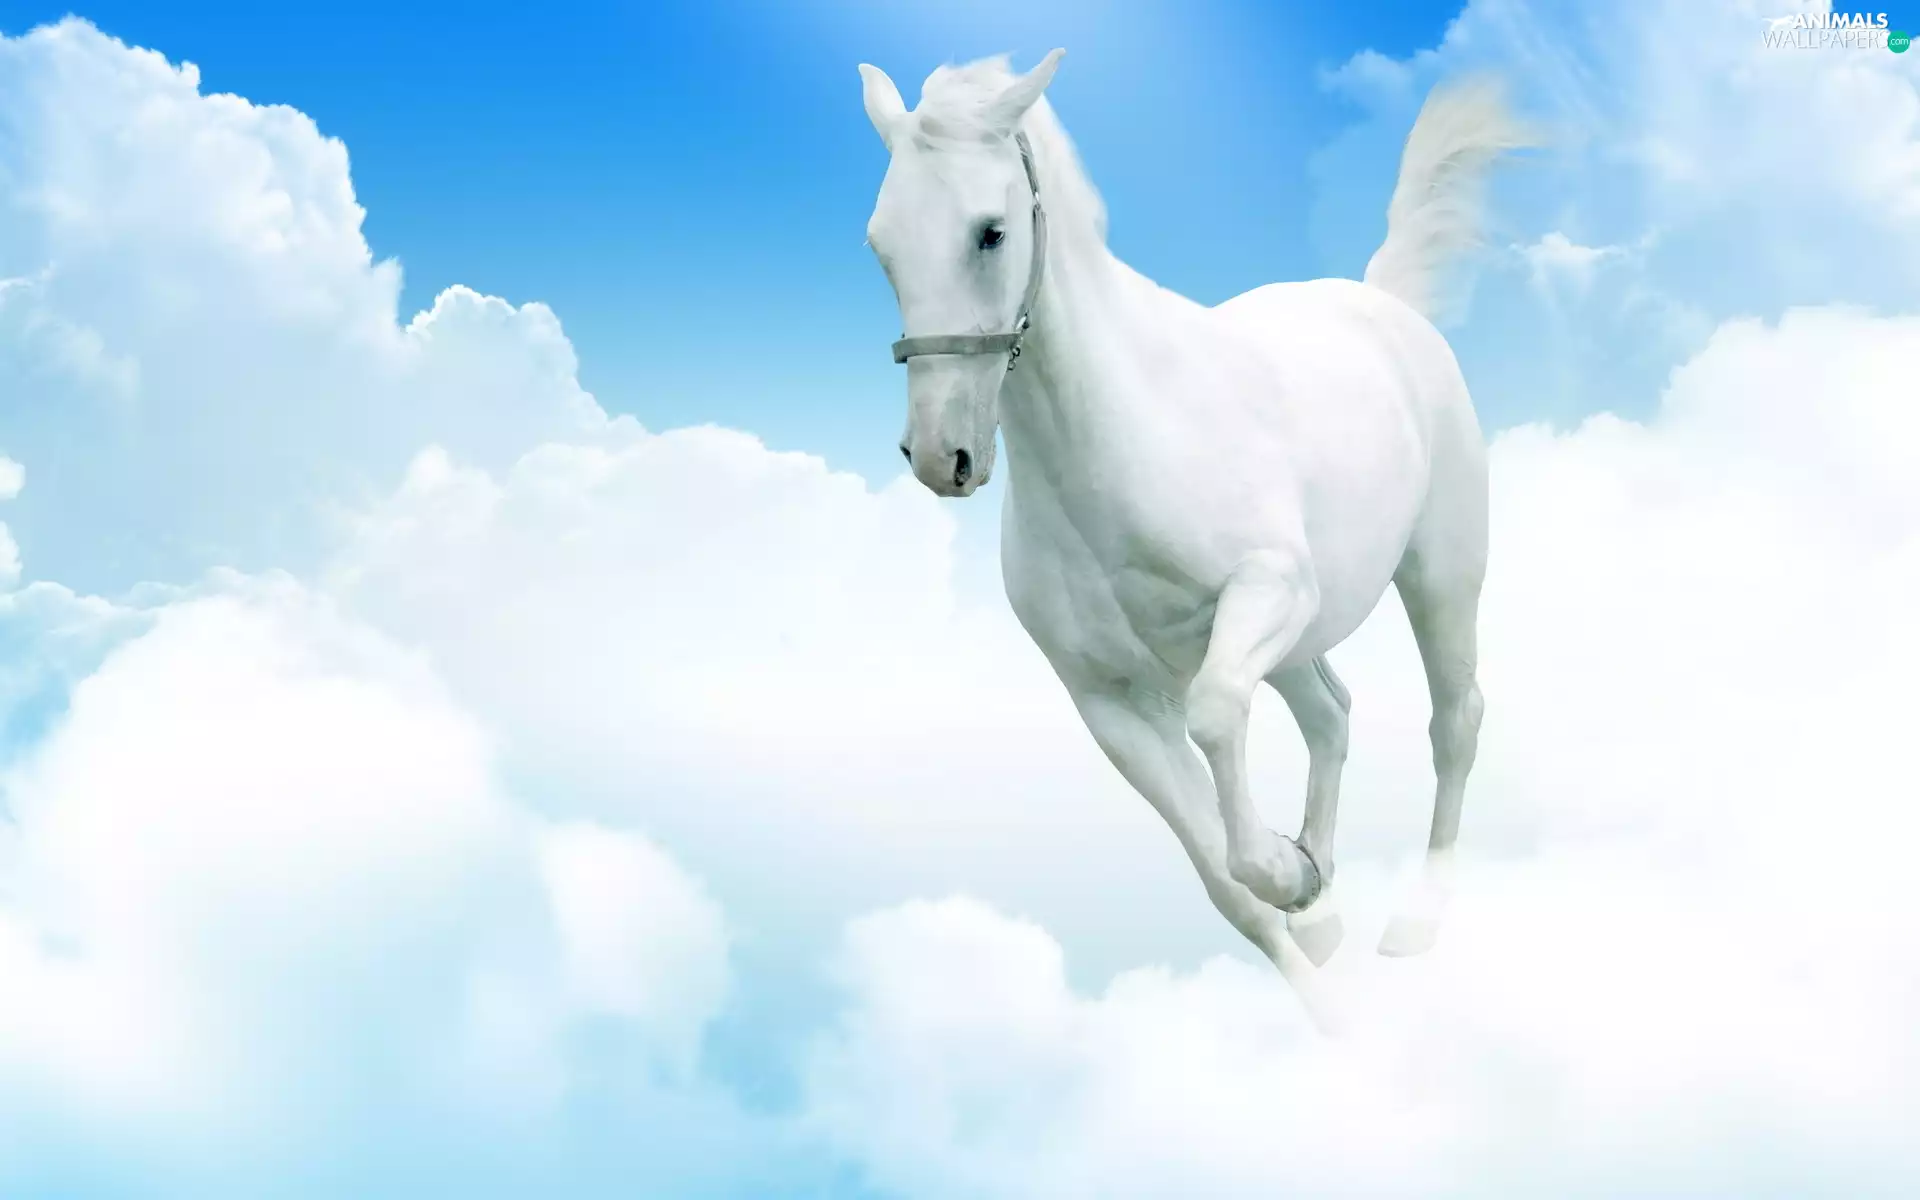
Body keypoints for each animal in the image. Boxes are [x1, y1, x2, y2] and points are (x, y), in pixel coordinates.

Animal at [857, 49, 1528, 1028]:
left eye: (989, 233)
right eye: (881, 243)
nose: (943, 457)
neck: (1123, 443)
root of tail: (1382, 304)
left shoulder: (1265, 594)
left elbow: (1216, 721)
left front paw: (1290, 873)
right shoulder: (1110, 704)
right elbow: (1224, 885)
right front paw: (1315, 954)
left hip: (1439, 575)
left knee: (1455, 721)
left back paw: (1415, 920)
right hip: (1302, 641)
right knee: (1332, 714)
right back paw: (1327, 898)